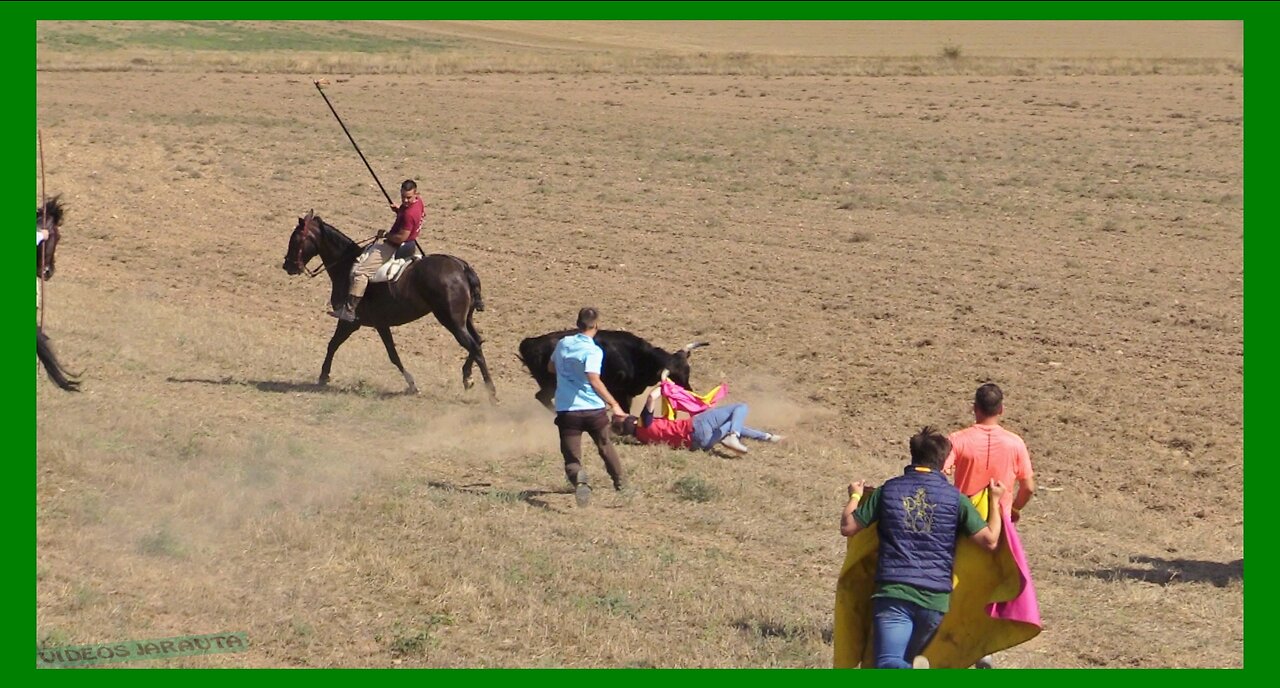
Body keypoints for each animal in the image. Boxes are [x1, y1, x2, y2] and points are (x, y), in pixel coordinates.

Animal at [282, 211, 496, 398]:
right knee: (478, 341)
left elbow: (335, 344)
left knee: (474, 347)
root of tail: (461, 266)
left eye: (295, 239)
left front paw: (323, 376)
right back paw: (468, 377)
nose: (288, 266)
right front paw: (412, 384)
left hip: (451, 320)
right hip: (464, 319)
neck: (346, 265)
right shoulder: (380, 324)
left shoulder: (351, 322)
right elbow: (391, 354)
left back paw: (491, 392)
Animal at [514, 327, 711, 411]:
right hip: (550, 385)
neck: (637, 356)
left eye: (687, 372)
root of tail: (532, 343)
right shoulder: (620, 392)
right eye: (674, 379)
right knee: (542, 397)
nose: (690, 391)